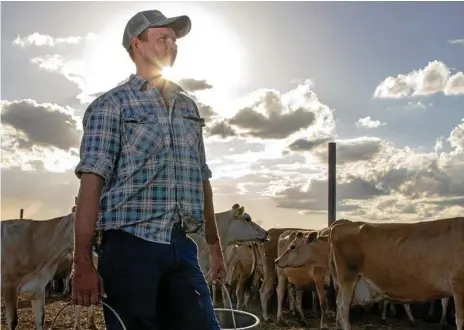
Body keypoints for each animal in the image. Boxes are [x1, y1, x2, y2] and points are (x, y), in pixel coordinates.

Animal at [328, 217, 462, 330]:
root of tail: (342, 224)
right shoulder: (458, 286)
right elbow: (460, 321)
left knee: (339, 304)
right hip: (348, 278)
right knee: (343, 307)